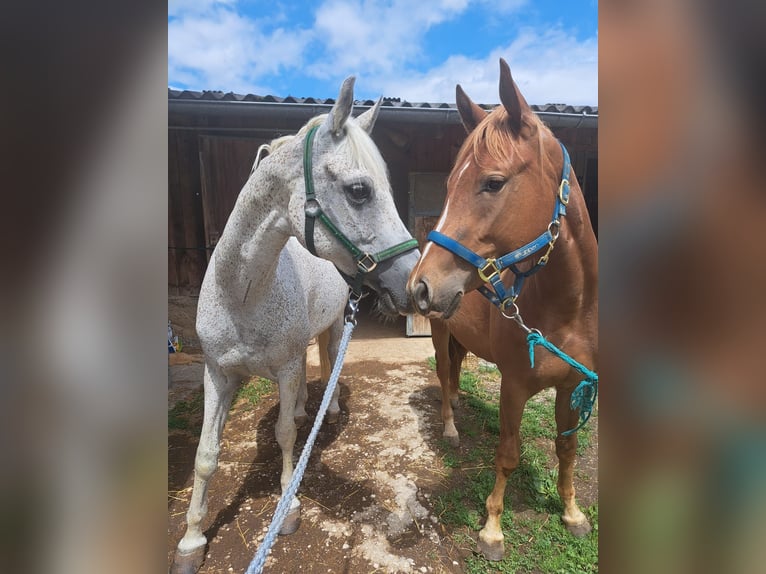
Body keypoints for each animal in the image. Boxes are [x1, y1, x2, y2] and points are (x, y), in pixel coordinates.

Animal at [171, 77, 420, 574]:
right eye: (360, 190)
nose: (416, 283)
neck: (242, 295)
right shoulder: (217, 374)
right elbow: (205, 456)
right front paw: (191, 540)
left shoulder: (283, 368)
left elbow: (286, 435)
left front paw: (288, 507)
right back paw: (307, 406)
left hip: (333, 328)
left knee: (328, 365)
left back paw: (328, 408)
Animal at [407, 59, 598, 561]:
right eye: (448, 185)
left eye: (493, 182)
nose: (420, 286)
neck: (565, 311)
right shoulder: (513, 387)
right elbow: (508, 454)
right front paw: (492, 529)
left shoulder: (573, 387)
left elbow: (567, 451)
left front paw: (572, 513)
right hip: (439, 333)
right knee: (442, 372)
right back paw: (451, 428)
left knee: (455, 370)